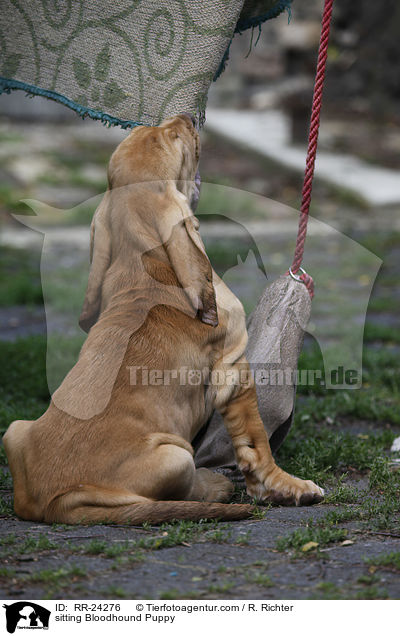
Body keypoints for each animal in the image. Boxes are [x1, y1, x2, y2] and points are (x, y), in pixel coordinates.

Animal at [3, 115, 324, 528]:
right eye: (172, 137)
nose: (186, 118)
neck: (145, 262)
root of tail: (55, 501)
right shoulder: (235, 370)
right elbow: (256, 444)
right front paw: (288, 487)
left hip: (14, 430)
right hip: (176, 455)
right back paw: (214, 487)